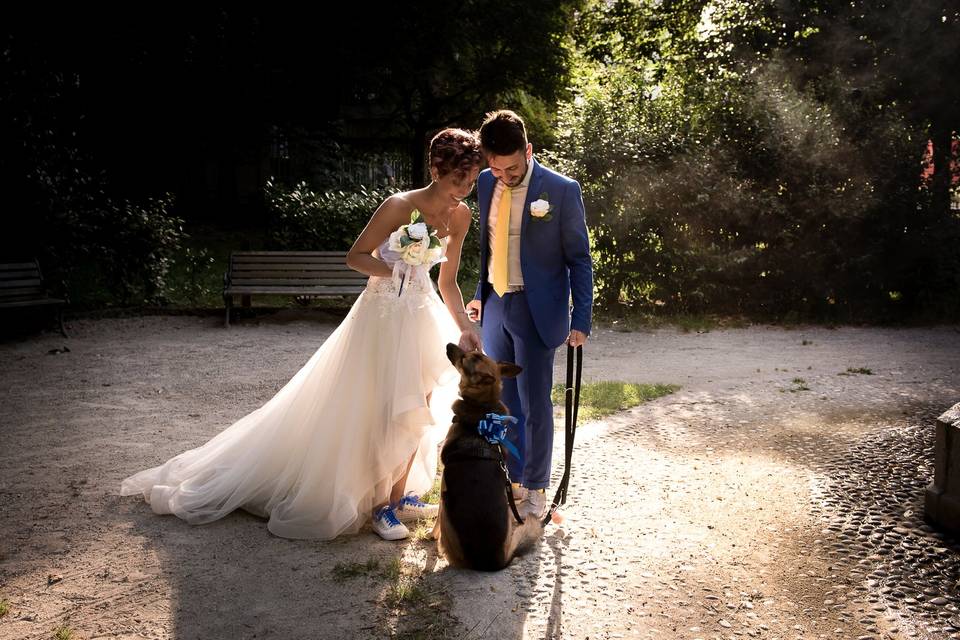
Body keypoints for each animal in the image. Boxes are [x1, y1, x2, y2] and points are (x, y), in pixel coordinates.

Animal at [436, 342, 544, 572]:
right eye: (475, 352)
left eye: (467, 358)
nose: (449, 344)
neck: (482, 408)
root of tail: (496, 562)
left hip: (449, 529)